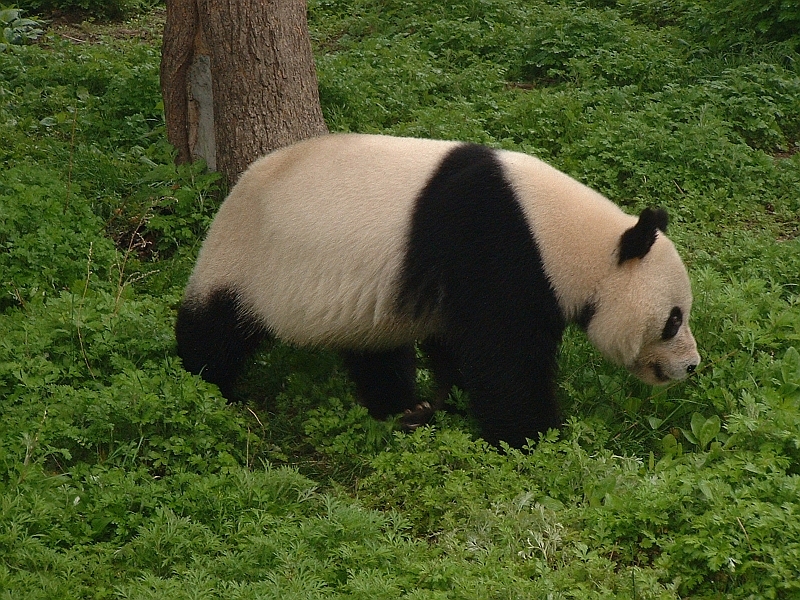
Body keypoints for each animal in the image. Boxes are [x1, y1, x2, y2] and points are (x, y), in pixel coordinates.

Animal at [177, 134, 700, 448]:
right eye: (674, 319)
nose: (692, 366)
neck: (562, 235)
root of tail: (233, 192)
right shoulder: (497, 249)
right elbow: (504, 356)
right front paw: (533, 435)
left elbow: (459, 346)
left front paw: (450, 402)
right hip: (250, 263)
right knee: (215, 330)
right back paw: (208, 390)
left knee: (375, 353)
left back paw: (403, 407)